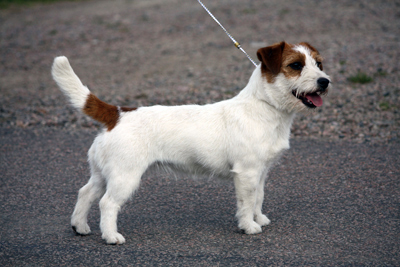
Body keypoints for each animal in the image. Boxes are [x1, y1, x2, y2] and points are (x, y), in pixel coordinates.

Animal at [50, 41, 332, 245]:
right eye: (295, 65)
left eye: (318, 63)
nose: (325, 81)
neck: (264, 107)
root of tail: (117, 113)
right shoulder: (247, 173)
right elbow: (246, 202)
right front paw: (249, 226)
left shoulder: (260, 173)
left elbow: (258, 198)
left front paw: (259, 218)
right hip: (125, 176)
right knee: (107, 203)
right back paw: (111, 237)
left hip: (103, 173)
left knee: (85, 193)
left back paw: (80, 226)